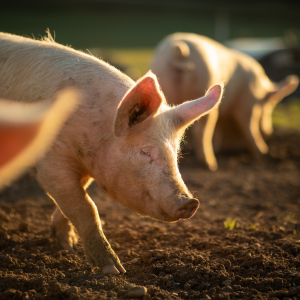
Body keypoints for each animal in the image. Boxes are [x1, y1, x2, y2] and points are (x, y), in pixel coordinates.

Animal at [0, 32, 224, 274]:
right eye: (145, 152)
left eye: (176, 154)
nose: (190, 202)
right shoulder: (52, 163)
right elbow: (87, 207)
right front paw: (114, 270)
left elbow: (75, 201)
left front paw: (68, 246)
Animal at [150, 33, 298, 171]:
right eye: (270, 104)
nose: (269, 131)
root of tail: (178, 52)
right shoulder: (247, 103)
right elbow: (249, 126)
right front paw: (262, 153)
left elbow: (219, 130)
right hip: (205, 87)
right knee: (201, 131)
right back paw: (210, 165)